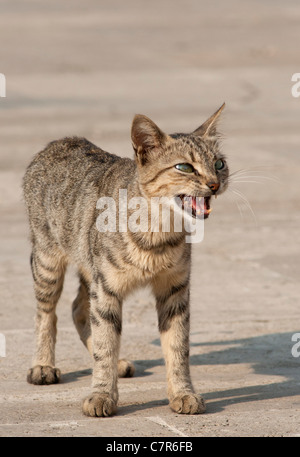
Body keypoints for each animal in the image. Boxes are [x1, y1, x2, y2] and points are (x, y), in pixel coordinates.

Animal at [22, 104, 227, 416]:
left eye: (219, 164)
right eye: (184, 167)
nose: (214, 184)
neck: (158, 234)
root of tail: (62, 140)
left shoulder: (175, 290)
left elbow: (178, 347)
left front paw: (183, 393)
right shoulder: (107, 288)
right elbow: (106, 343)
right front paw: (102, 394)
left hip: (89, 269)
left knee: (78, 308)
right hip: (49, 261)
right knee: (47, 313)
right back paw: (43, 365)